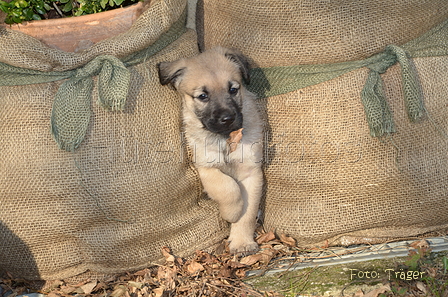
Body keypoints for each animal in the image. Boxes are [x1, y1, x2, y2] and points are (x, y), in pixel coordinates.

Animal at [158, 46, 264, 252]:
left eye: (233, 89)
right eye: (203, 96)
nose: (227, 119)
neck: (225, 140)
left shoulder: (251, 172)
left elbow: (248, 213)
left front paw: (242, 242)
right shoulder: (206, 168)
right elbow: (228, 188)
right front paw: (231, 213)